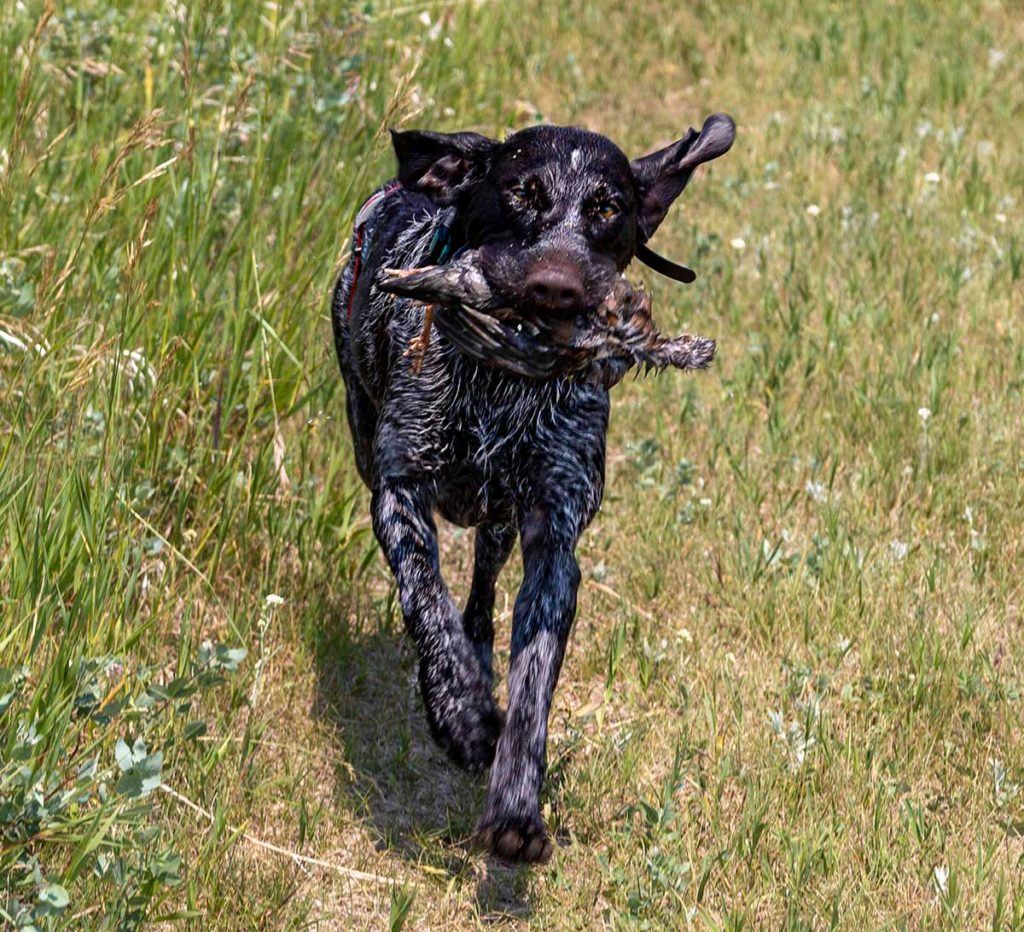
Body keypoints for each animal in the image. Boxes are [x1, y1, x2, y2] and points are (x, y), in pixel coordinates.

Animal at [331, 113, 733, 864]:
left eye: (607, 207)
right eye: (521, 192)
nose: (555, 290)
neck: (502, 387)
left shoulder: (555, 533)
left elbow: (533, 680)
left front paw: (517, 800)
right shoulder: (399, 492)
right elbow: (425, 602)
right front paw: (460, 712)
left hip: (501, 518)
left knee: (486, 578)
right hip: (366, 435)